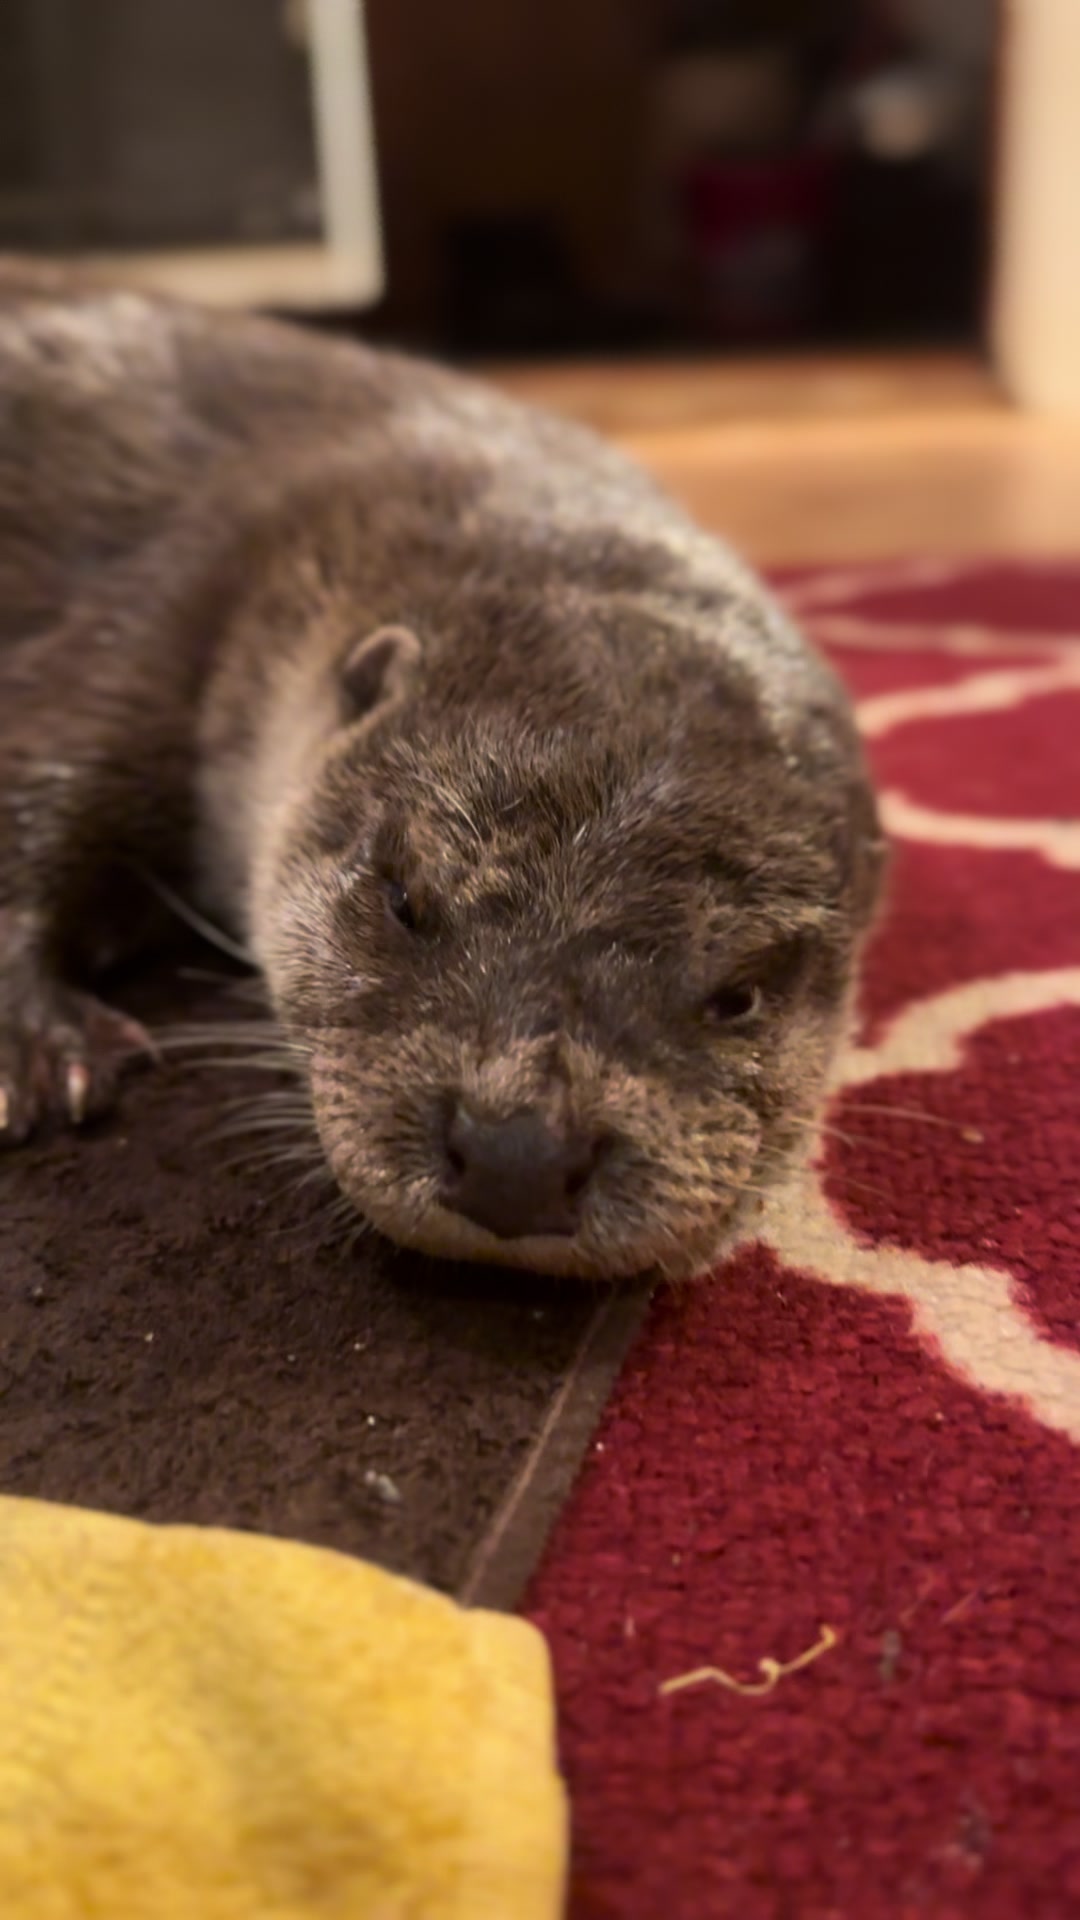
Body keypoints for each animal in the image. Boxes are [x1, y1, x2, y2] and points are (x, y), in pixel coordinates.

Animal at [0, 258, 883, 1281]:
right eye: (403, 900)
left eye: (737, 995)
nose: (518, 1155)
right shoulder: (160, 611)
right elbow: (41, 771)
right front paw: (33, 1048)